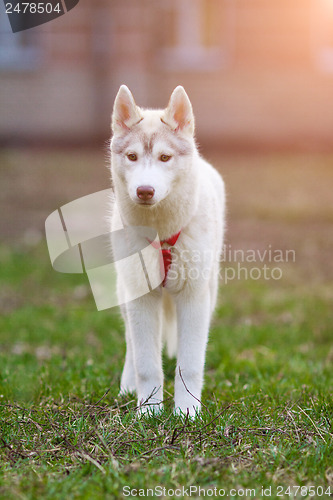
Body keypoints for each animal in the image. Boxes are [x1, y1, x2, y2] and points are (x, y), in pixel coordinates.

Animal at [110, 86, 224, 418]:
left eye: (164, 157)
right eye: (132, 156)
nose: (145, 191)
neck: (160, 234)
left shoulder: (194, 299)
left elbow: (190, 365)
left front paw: (188, 412)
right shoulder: (141, 298)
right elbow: (146, 364)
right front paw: (149, 411)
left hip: (210, 289)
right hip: (125, 295)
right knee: (131, 347)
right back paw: (127, 387)